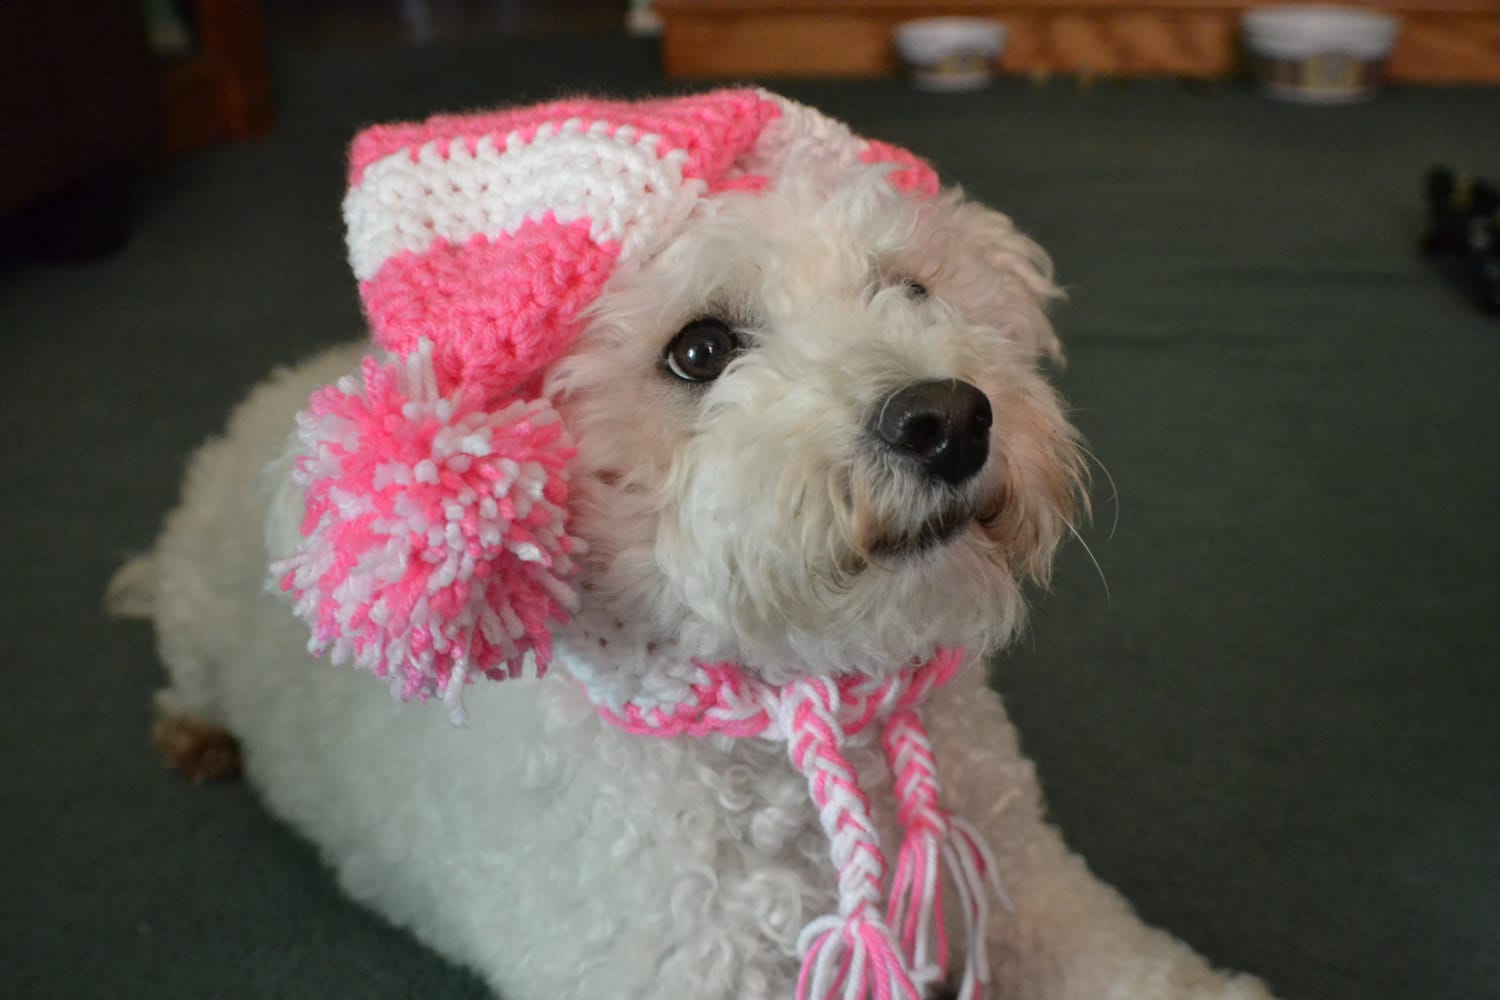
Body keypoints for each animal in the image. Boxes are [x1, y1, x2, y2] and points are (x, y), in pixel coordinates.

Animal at [111, 91, 1272, 1000]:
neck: (802, 709)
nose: (949, 420)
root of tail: (282, 404)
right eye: (700, 350)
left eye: (910, 287)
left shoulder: (1035, 886)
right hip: (200, 628)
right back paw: (191, 729)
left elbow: (1133, 963)